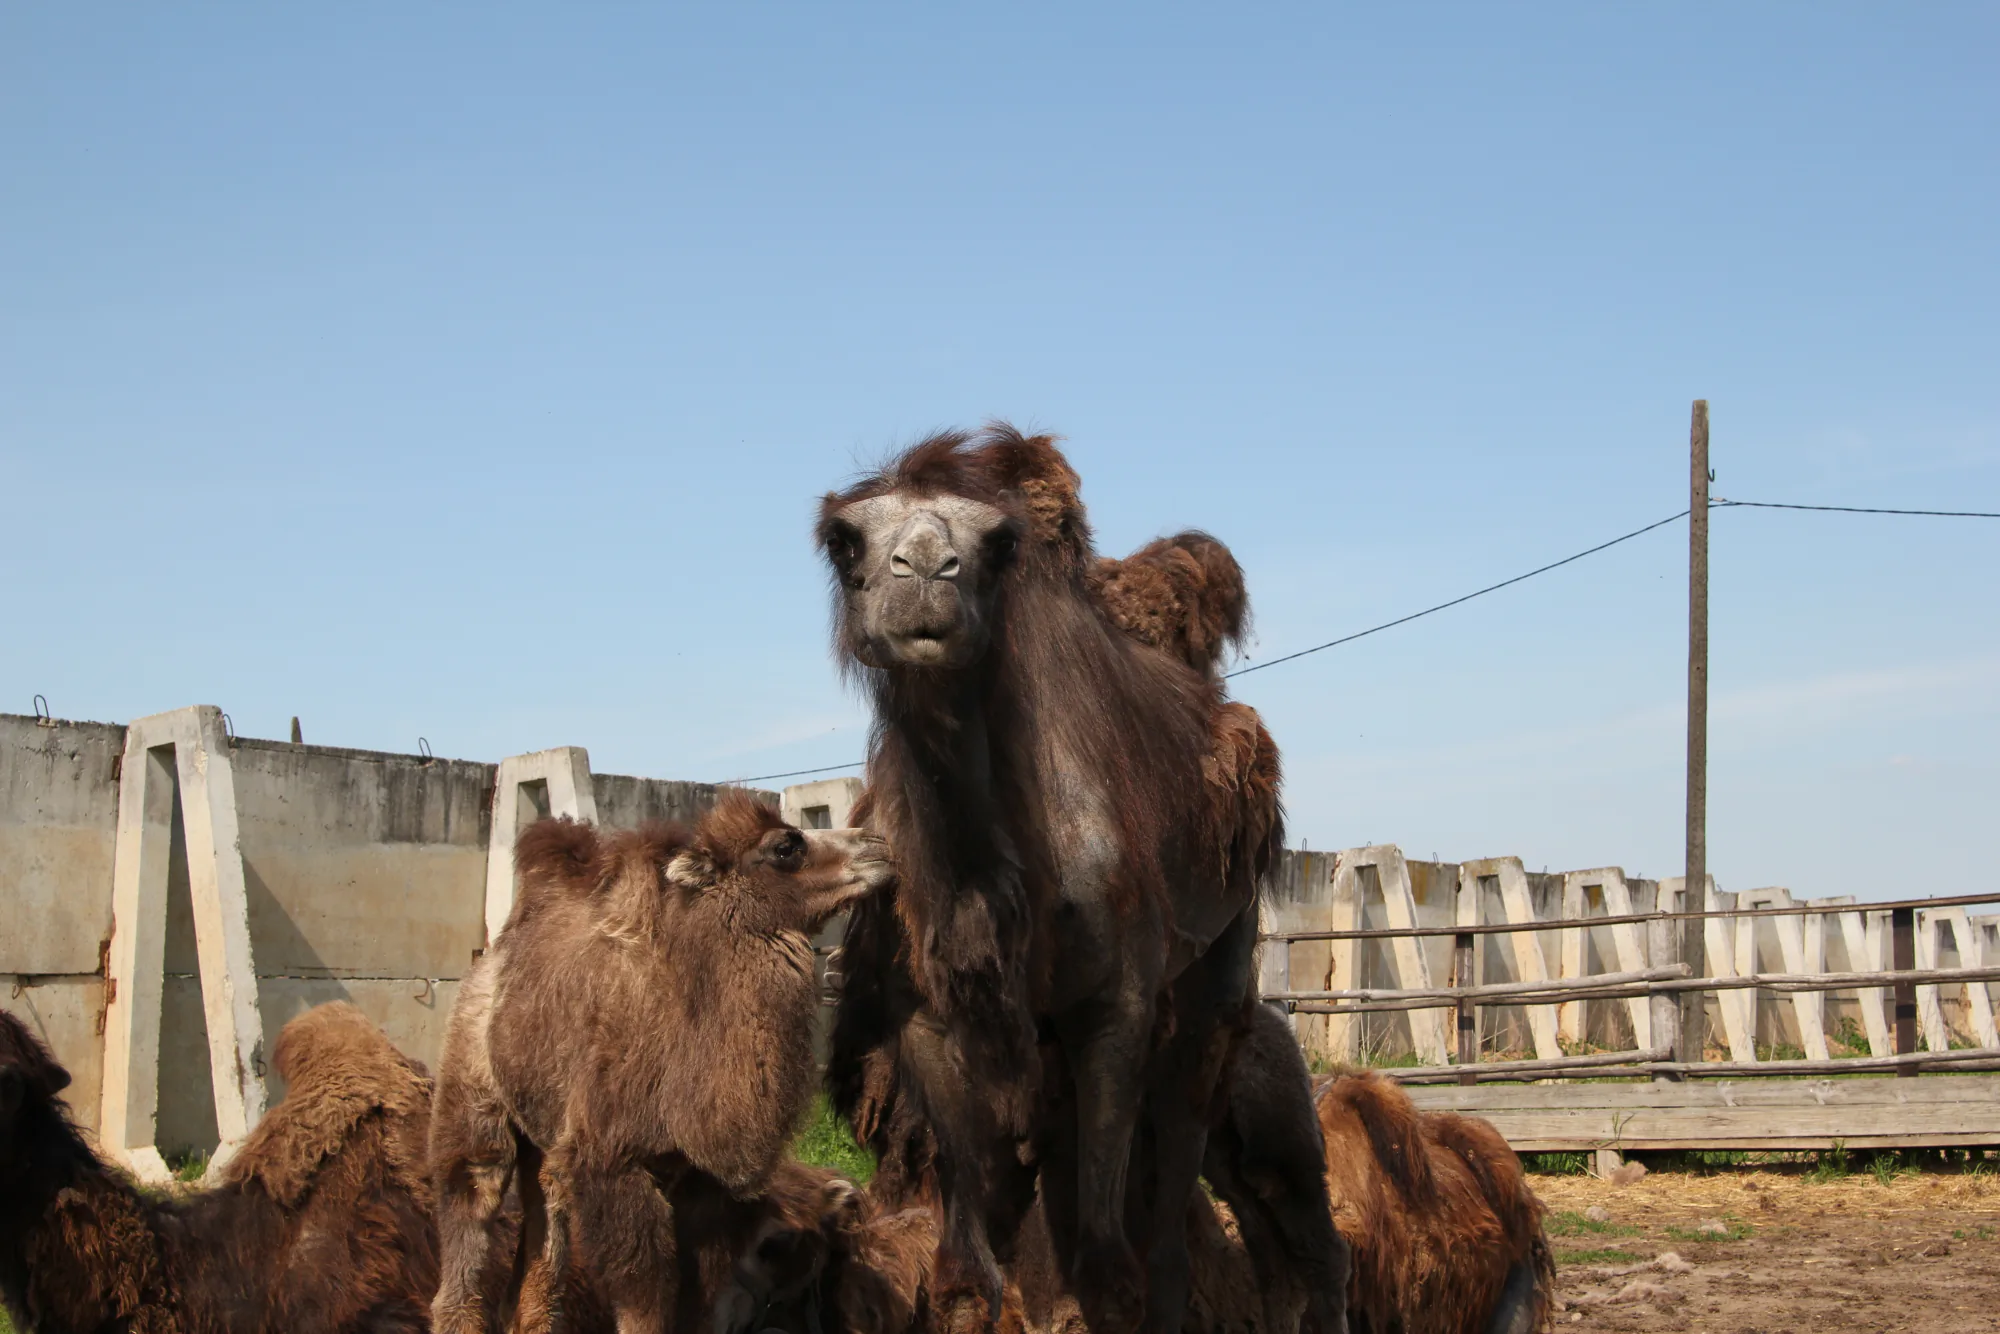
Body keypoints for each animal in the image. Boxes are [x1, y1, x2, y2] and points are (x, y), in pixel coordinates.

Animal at [429, 791, 896, 1334]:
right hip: (473, 1089)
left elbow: (696, 1298)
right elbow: (644, 1301)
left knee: (547, 1216)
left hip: (546, 1133)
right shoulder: (615, 1163)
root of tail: (491, 957)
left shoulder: (702, 1185)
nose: (878, 842)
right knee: (474, 1193)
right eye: (785, 846)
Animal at [817, 427, 1345, 1334]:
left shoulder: (1115, 1005)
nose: (925, 572)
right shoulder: (928, 1017)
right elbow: (966, 1272)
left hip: (1221, 960)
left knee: (1180, 1184)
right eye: (845, 540)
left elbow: (1107, 1269)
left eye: (996, 545)